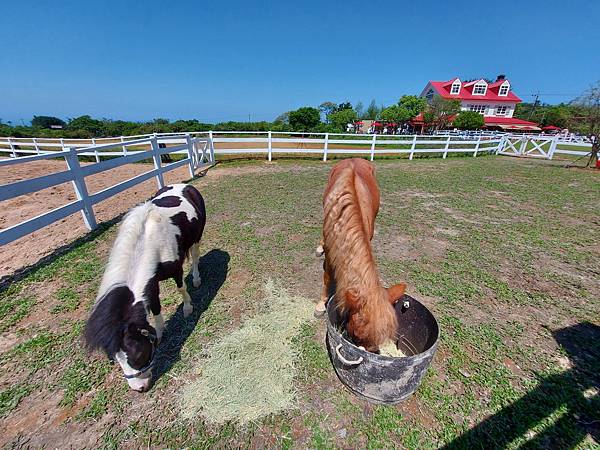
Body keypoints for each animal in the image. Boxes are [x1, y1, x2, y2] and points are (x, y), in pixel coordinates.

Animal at [83, 183, 206, 390]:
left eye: (138, 354)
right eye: (116, 360)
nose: (139, 388)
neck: (149, 242)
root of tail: (185, 185)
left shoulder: (175, 269)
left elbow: (181, 288)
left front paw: (188, 308)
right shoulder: (151, 282)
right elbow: (155, 307)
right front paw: (160, 333)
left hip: (197, 238)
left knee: (196, 256)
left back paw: (197, 279)